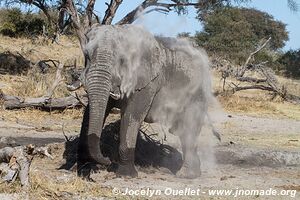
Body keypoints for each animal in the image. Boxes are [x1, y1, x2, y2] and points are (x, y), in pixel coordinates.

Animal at [77, 24, 213, 179]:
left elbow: (132, 114)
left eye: (121, 60)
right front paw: (81, 168)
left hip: (197, 93)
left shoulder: (147, 82)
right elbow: (91, 112)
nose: (107, 160)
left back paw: (186, 175)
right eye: (87, 56)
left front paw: (126, 175)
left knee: (189, 127)